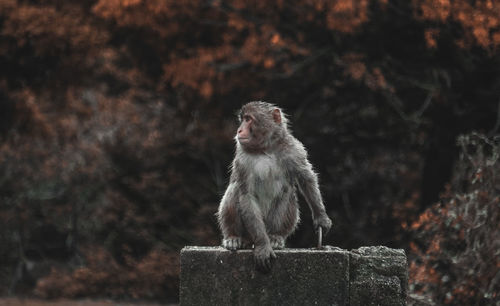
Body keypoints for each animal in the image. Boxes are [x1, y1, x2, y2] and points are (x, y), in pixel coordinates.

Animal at [218, 101, 332, 272]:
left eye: (248, 119)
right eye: (242, 119)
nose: (239, 130)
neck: (265, 149)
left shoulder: (294, 150)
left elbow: (306, 178)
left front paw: (321, 217)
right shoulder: (242, 160)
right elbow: (246, 195)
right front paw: (263, 246)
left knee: (287, 194)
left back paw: (275, 237)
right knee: (235, 190)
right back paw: (234, 237)